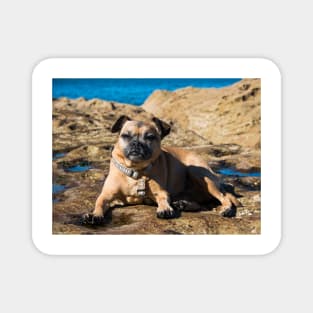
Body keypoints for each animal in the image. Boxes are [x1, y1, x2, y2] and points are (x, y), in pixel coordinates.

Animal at [82, 116, 239, 223]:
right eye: (125, 136)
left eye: (150, 137)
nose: (136, 144)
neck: (136, 171)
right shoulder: (106, 195)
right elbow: (99, 202)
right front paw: (95, 214)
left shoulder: (161, 192)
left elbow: (163, 199)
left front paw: (164, 208)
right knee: (200, 203)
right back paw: (184, 204)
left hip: (198, 173)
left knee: (224, 197)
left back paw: (225, 209)